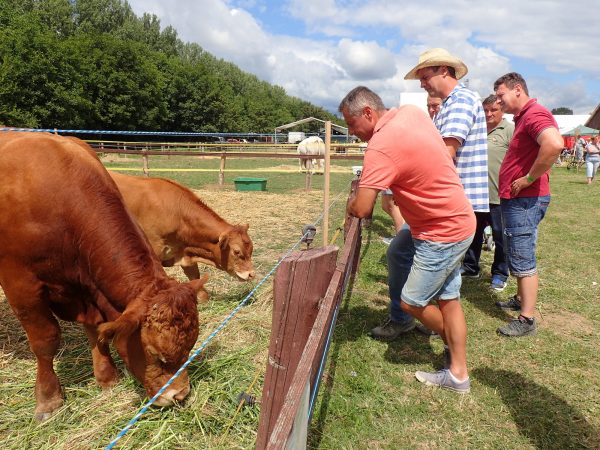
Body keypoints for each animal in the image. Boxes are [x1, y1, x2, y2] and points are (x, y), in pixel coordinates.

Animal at [0, 132, 209, 420]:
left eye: (191, 345)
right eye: (155, 353)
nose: (179, 395)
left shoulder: (88, 288)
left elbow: (97, 329)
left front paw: (107, 376)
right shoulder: (22, 285)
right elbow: (45, 340)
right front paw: (48, 399)